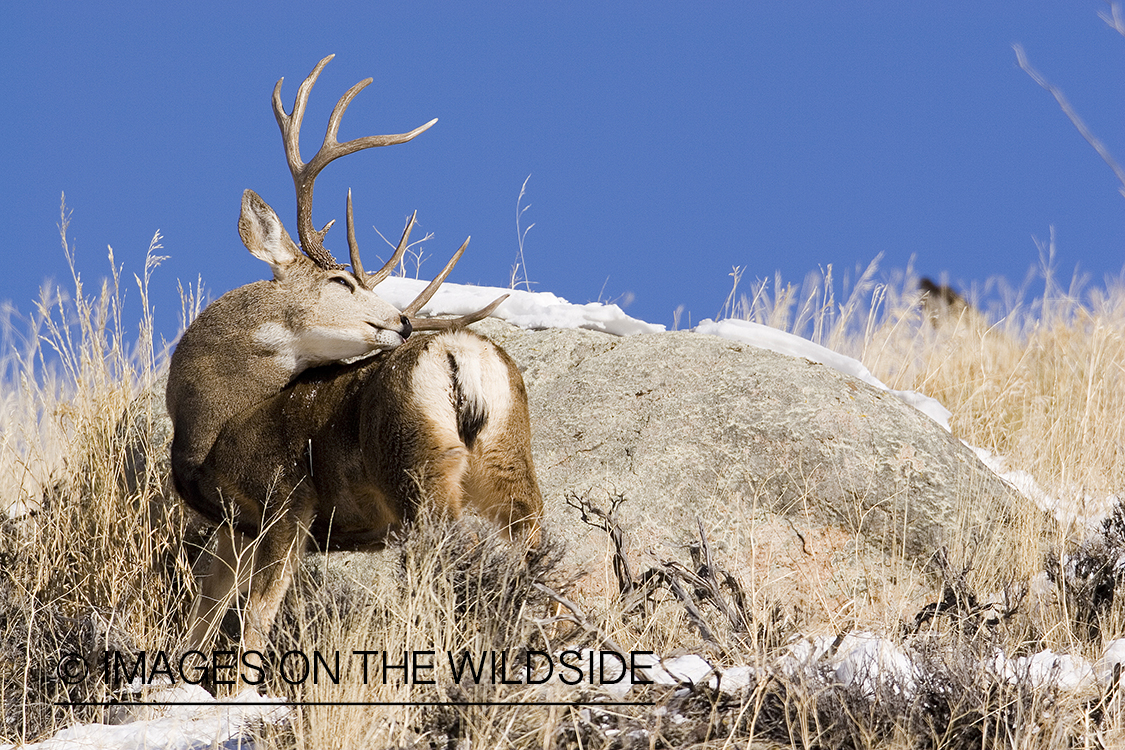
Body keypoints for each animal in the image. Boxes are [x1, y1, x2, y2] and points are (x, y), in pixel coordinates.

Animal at [165, 57, 544, 656]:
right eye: (341, 281)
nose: (403, 321)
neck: (211, 423)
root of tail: (458, 352)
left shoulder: (284, 502)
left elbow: (256, 617)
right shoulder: (233, 528)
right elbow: (200, 619)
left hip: (414, 467)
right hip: (511, 462)